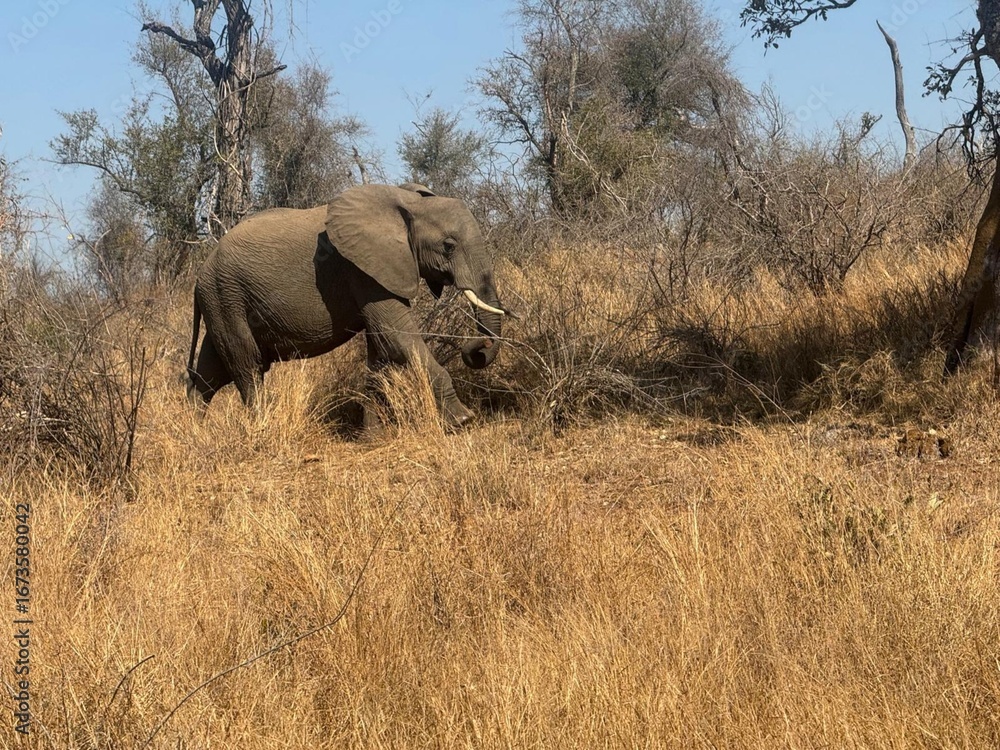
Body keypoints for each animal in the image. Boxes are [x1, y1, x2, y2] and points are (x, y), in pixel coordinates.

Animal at [186, 183, 509, 429]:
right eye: (448, 246)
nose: (477, 348)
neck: (407, 202)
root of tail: (200, 276)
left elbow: (382, 349)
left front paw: (372, 436)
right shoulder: (363, 269)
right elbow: (398, 337)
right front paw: (463, 421)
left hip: (223, 299)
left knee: (211, 370)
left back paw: (191, 432)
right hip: (226, 294)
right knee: (247, 364)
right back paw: (262, 428)